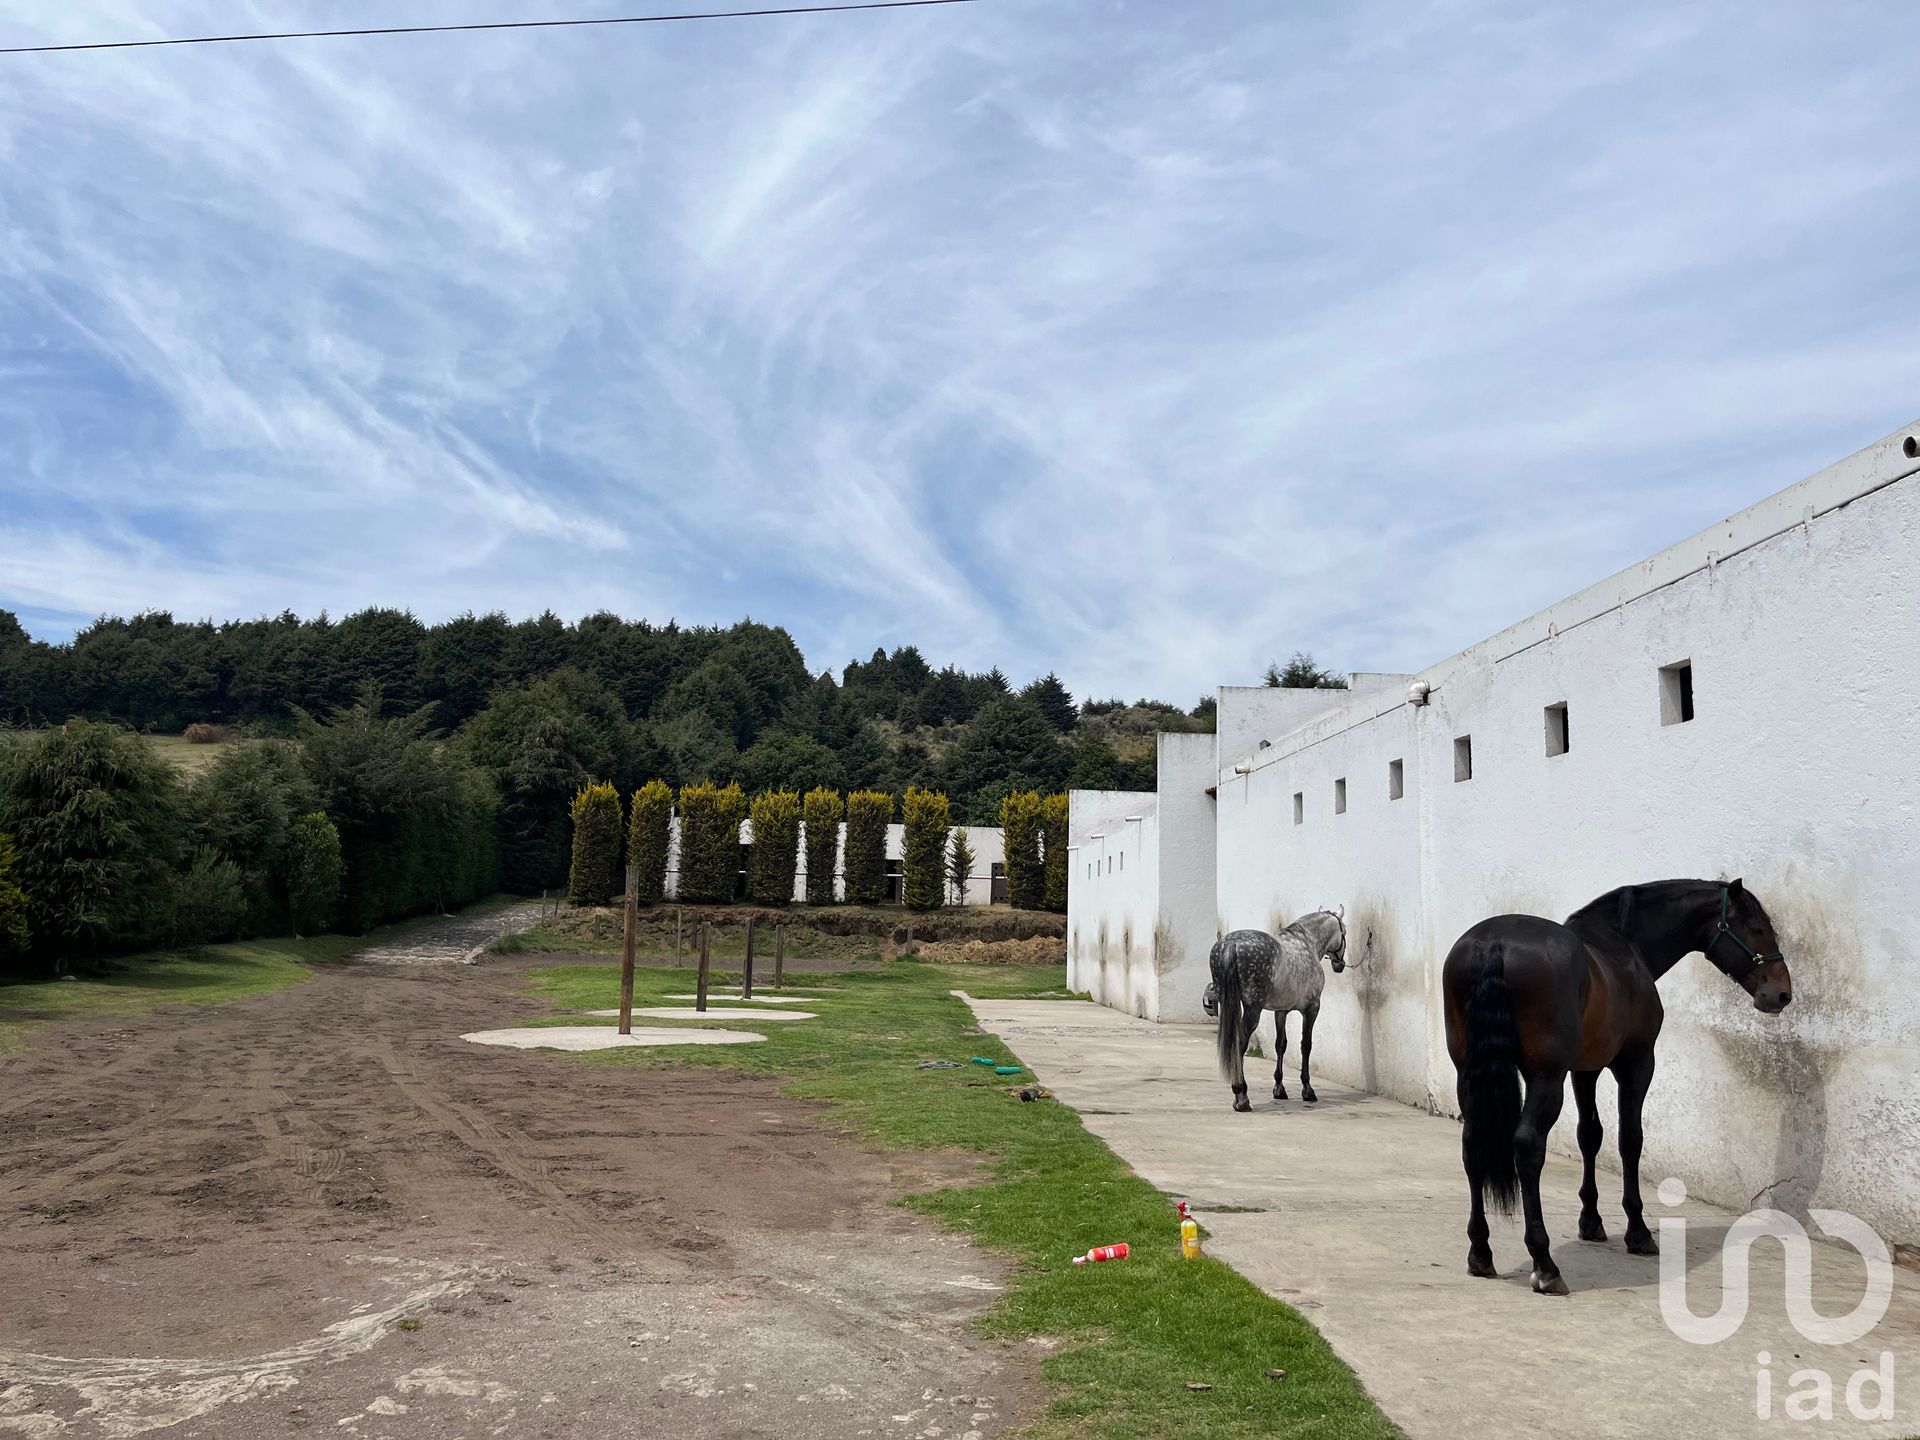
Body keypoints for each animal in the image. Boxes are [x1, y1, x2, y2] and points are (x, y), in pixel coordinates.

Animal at [1205, 913, 1344, 1113]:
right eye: (1344, 932)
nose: (1339, 964)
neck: (1306, 942)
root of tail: (1232, 944)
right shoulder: (1312, 1009)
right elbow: (1306, 1046)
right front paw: (1308, 1090)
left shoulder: (1281, 1011)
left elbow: (1280, 1045)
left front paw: (1279, 1089)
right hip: (1252, 1010)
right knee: (1240, 1045)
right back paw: (1241, 1096)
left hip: (1227, 1005)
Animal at [1443, 879, 1789, 1297]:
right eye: (1756, 927)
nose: (1781, 993)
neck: (1626, 947)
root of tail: (1493, 943)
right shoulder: (1636, 1064)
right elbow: (1630, 1139)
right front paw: (1637, 1233)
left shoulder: (1584, 1070)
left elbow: (1590, 1135)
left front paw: (1591, 1222)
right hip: (1546, 1078)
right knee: (1527, 1146)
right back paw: (1545, 1265)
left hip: (1469, 1072)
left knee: (1472, 1143)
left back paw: (1480, 1252)